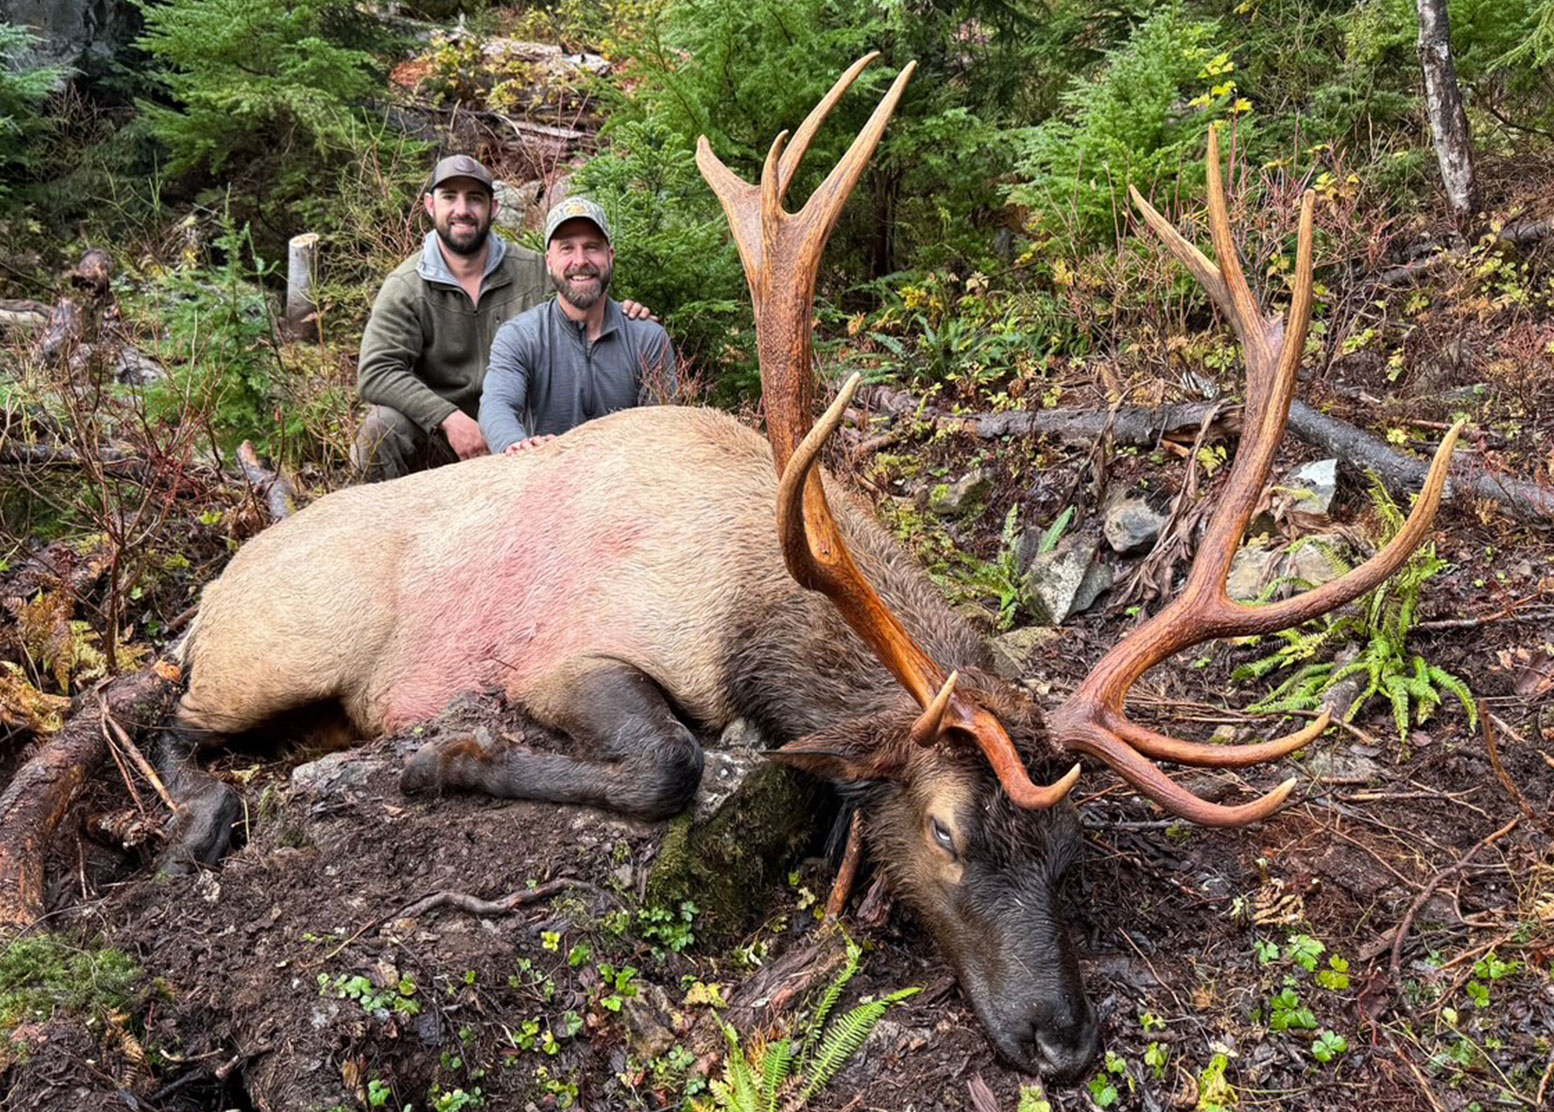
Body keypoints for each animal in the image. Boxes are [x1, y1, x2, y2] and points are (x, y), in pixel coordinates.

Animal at [159, 56, 1460, 1081]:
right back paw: (204, 815)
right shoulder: (566, 649)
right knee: (174, 715)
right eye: (943, 831)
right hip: (269, 649)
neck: (754, 601)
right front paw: (445, 759)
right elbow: (671, 763)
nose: (1063, 1038)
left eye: (1070, 848)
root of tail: (214, 588)